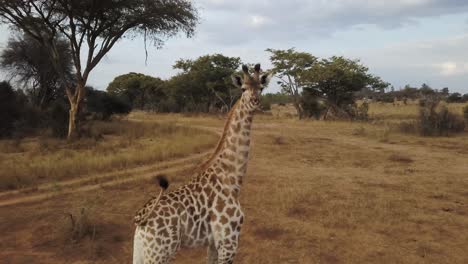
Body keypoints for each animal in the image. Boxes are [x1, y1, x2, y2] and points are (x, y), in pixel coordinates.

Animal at [132, 64, 272, 264]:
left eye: (261, 88)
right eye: (243, 89)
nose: (255, 101)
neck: (232, 179)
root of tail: (141, 219)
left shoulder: (213, 242)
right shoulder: (228, 241)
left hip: (141, 250)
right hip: (159, 252)